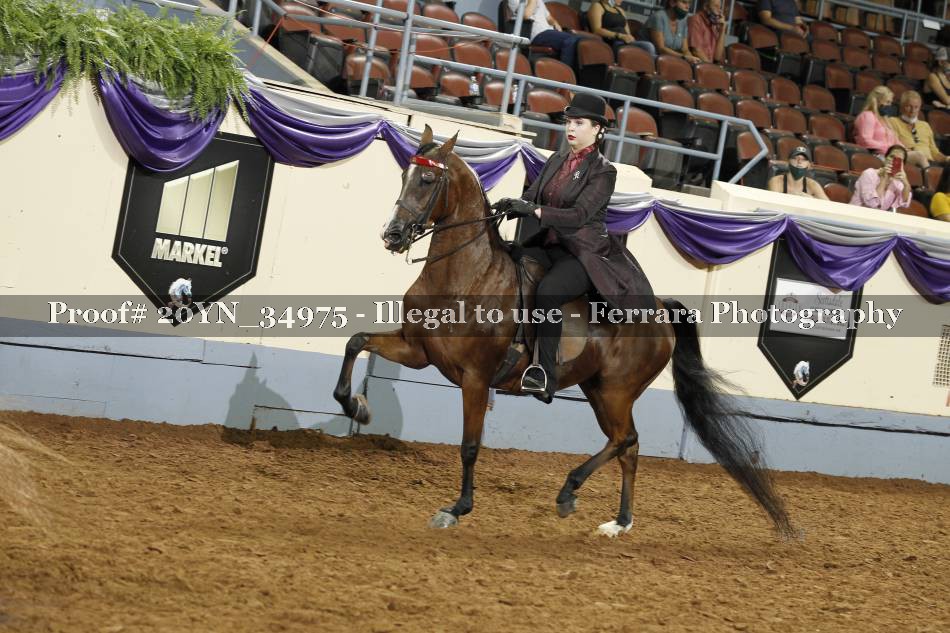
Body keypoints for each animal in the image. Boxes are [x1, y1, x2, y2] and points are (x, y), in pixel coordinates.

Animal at [334, 125, 794, 538]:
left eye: (427, 180)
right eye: (404, 176)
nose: (392, 235)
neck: (466, 275)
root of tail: (660, 310)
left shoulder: (476, 378)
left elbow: (469, 446)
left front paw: (457, 508)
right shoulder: (419, 351)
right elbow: (356, 341)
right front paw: (356, 406)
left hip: (616, 391)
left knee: (625, 439)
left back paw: (569, 492)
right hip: (599, 390)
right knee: (629, 447)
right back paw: (619, 522)